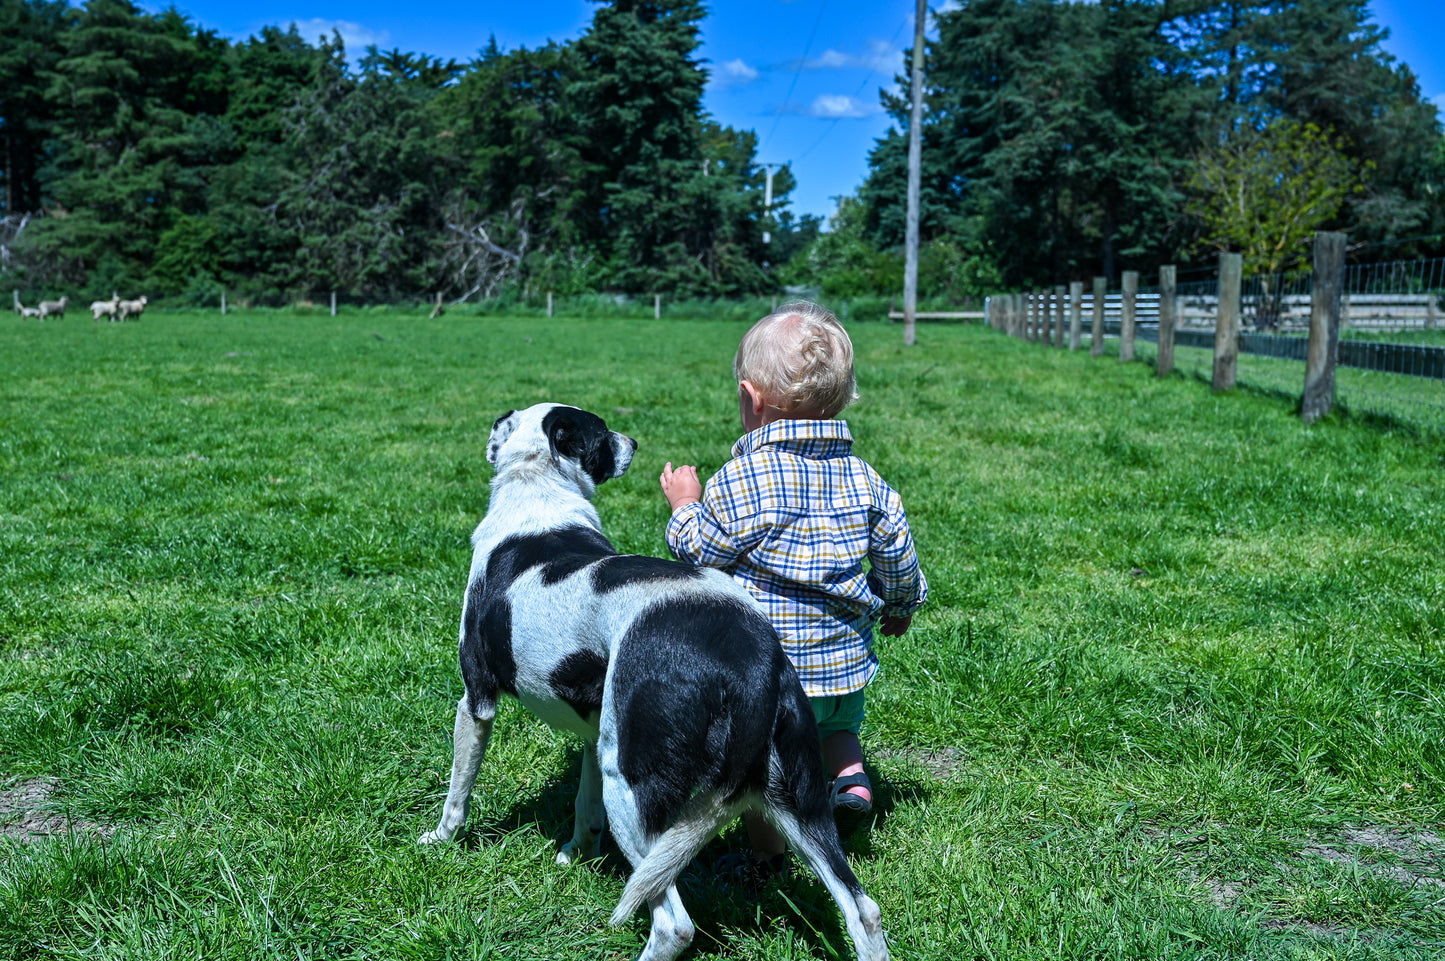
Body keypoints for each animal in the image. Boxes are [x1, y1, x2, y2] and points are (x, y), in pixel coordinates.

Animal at [419, 401, 884, 959]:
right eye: (603, 433)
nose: (635, 442)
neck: (539, 490)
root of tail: (751, 656)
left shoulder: (477, 701)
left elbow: (458, 791)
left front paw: (439, 839)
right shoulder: (595, 732)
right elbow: (584, 808)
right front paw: (574, 854)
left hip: (634, 787)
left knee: (674, 923)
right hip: (798, 798)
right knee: (863, 909)